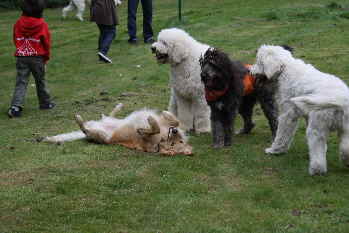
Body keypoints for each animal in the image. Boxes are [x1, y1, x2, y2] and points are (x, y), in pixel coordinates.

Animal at [43, 103, 193, 156]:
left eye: (174, 144)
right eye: (178, 141)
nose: (174, 132)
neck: (162, 138)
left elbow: (153, 128)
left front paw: (148, 124)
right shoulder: (167, 124)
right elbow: (176, 120)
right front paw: (166, 113)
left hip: (102, 136)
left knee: (85, 128)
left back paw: (79, 119)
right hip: (111, 121)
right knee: (108, 115)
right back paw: (118, 106)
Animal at [250, 44, 349, 175]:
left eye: (259, 62)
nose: (249, 71)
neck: (286, 69)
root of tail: (340, 99)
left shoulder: (287, 114)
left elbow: (281, 134)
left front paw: (275, 150)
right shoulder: (307, 115)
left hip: (317, 126)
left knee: (318, 151)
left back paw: (316, 170)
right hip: (345, 128)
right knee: (345, 148)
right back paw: (345, 162)